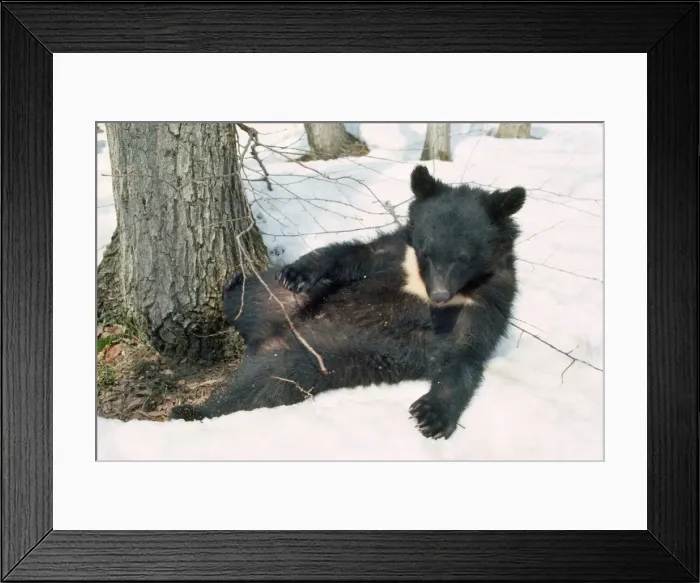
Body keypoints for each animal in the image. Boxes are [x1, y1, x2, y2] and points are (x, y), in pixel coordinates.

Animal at [169, 165, 527, 440]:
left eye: (463, 257)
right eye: (425, 250)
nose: (438, 296)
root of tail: (268, 334)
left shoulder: (488, 298)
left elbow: (466, 351)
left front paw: (431, 414)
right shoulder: (395, 250)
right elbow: (353, 253)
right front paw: (297, 271)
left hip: (305, 359)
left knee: (256, 388)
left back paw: (190, 411)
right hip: (272, 298)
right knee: (243, 299)